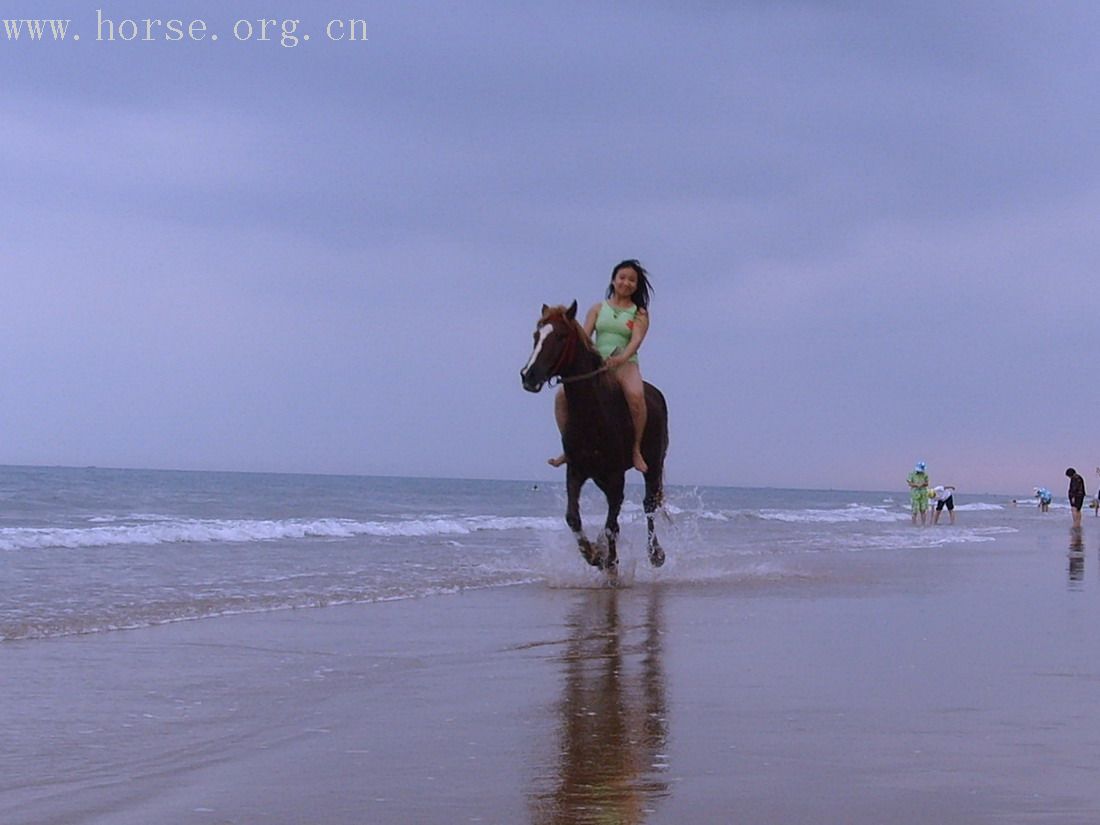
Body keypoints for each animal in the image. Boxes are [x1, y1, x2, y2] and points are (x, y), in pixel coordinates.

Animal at [519, 303, 664, 576]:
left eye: (561, 336)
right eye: (536, 335)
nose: (528, 375)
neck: (593, 412)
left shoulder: (616, 475)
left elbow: (611, 525)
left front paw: (610, 563)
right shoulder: (576, 471)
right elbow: (573, 518)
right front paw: (594, 554)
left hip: (653, 465)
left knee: (649, 505)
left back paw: (655, 554)